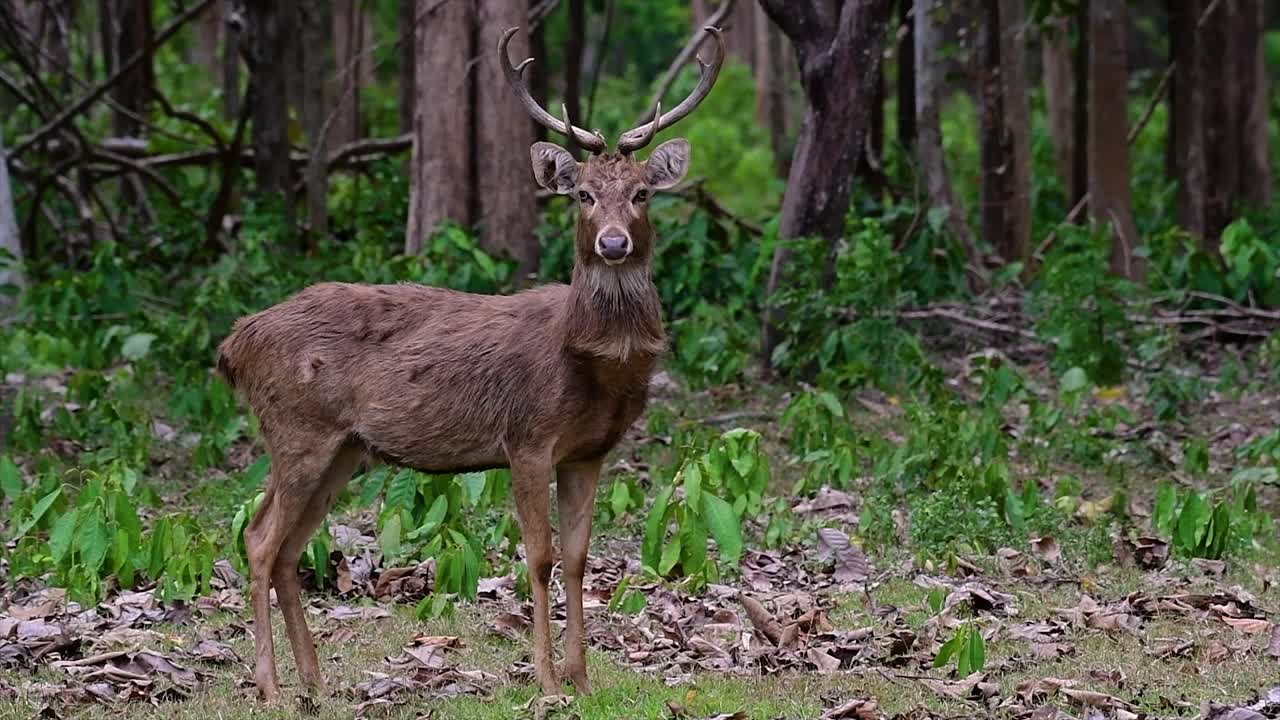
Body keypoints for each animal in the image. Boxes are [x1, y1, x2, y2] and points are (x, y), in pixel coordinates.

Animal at [215, 25, 725, 702]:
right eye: (583, 195)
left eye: (642, 194)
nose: (612, 242)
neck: (591, 364)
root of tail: (235, 344)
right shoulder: (528, 436)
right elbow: (539, 557)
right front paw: (547, 684)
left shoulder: (589, 451)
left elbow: (579, 558)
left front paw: (583, 679)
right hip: (297, 428)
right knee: (257, 538)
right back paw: (271, 686)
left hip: (343, 447)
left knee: (289, 548)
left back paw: (314, 682)